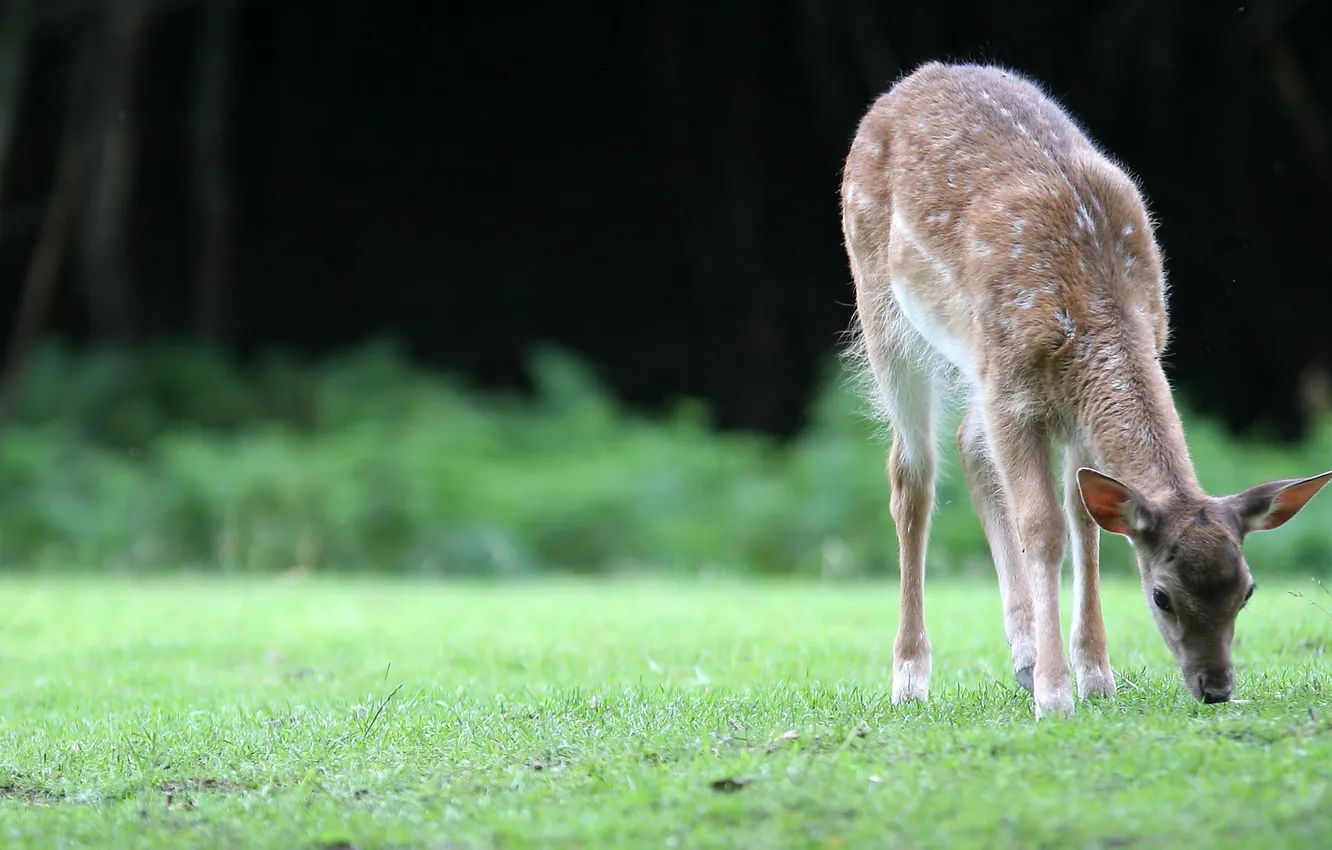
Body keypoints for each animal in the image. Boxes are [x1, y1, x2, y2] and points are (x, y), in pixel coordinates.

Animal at [841, 63, 1332, 724]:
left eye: (1246, 590)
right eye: (1162, 596)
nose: (1216, 687)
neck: (1092, 309)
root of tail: (908, 83)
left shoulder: (1067, 405)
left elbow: (1086, 520)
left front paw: (1097, 677)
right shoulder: (1013, 388)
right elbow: (1044, 528)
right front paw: (1056, 694)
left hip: (972, 360)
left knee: (969, 440)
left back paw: (1021, 656)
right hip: (882, 306)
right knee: (911, 475)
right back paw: (910, 678)